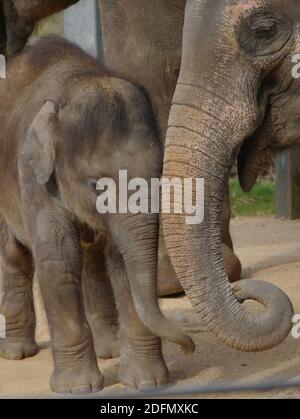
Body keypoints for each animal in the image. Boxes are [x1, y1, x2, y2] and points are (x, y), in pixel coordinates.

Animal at [0, 37, 193, 396]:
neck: (77, 84)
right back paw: (17, 352)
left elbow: (122, 263)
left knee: (92, 259)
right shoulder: (33, 174)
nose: (190, 347)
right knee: (14, 254)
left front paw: (146, 382)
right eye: (96, 186)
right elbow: (58, 261)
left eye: (159, 176)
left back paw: (110, 350)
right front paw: (77, 388)